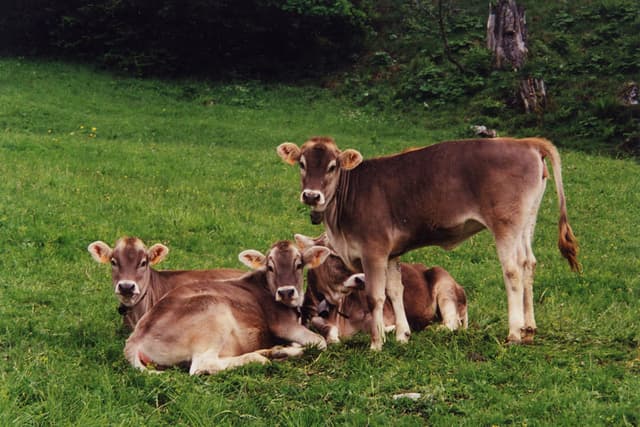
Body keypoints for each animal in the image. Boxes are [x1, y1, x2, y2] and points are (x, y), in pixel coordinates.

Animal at [123, 240, 330, 375]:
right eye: (270, 267)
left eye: (299, 264)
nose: (286, 292)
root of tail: (135, 339)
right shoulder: (282, 324)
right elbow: (320, 342)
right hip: (213, 310)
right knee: (202, 366)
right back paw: (260, 357)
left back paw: (271, 351)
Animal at [296, 233, 467, 344]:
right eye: (334, 254)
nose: (363, 278)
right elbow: (316, 324)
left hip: (445, 285)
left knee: (453, 322)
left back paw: (433, 328)